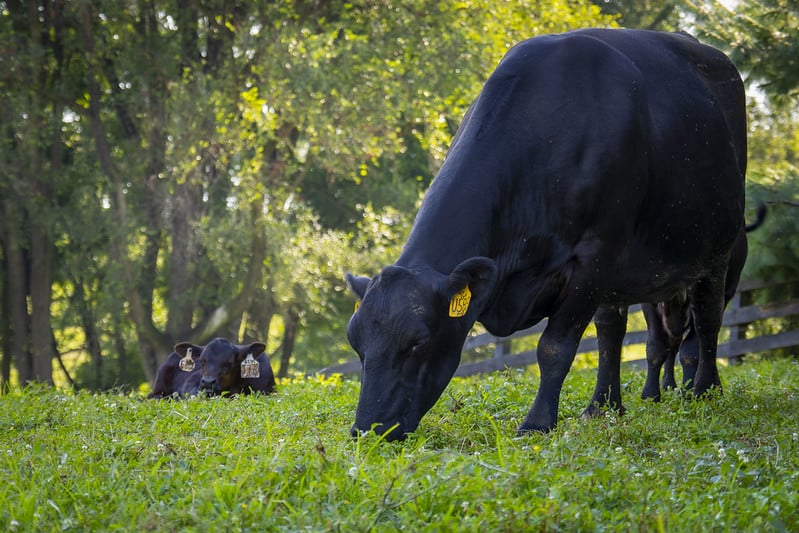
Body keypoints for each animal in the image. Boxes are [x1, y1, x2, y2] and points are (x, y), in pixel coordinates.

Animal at [345, 28, 748, 441]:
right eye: (356, 344)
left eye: (418, 342)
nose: (367, 430)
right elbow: (603, 336)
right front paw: (595, 410)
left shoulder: (594, 254)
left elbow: (554, 347)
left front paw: (537, 423)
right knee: (613, 330)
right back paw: (604, 405)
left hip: (718, 249)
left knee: (706, 320)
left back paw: (705, 390)